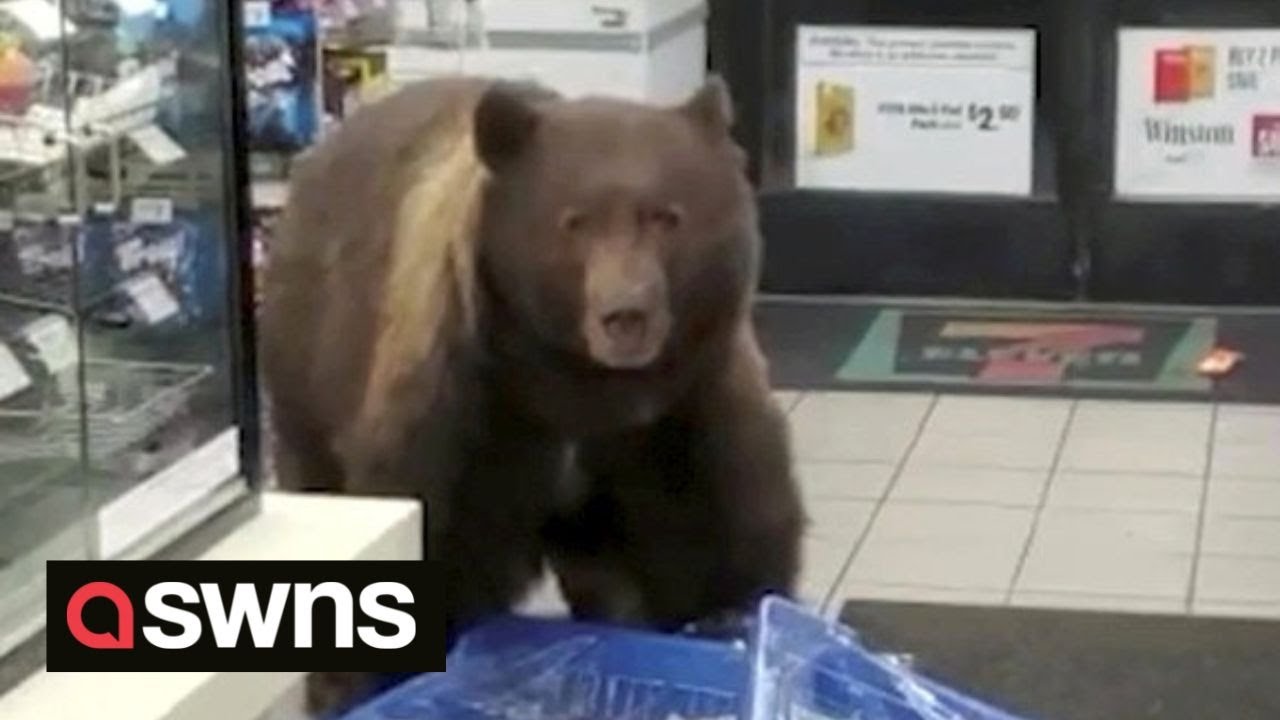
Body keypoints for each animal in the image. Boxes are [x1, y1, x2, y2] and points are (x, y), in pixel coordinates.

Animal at [259, 75, 805, 715]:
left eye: (665, 216)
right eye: (576, 221)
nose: (626, 315)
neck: (575, 388)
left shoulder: (682, 410)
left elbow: (714, 543)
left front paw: (728, 625)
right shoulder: (472, 416)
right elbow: (444, 554)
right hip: (307, 379)